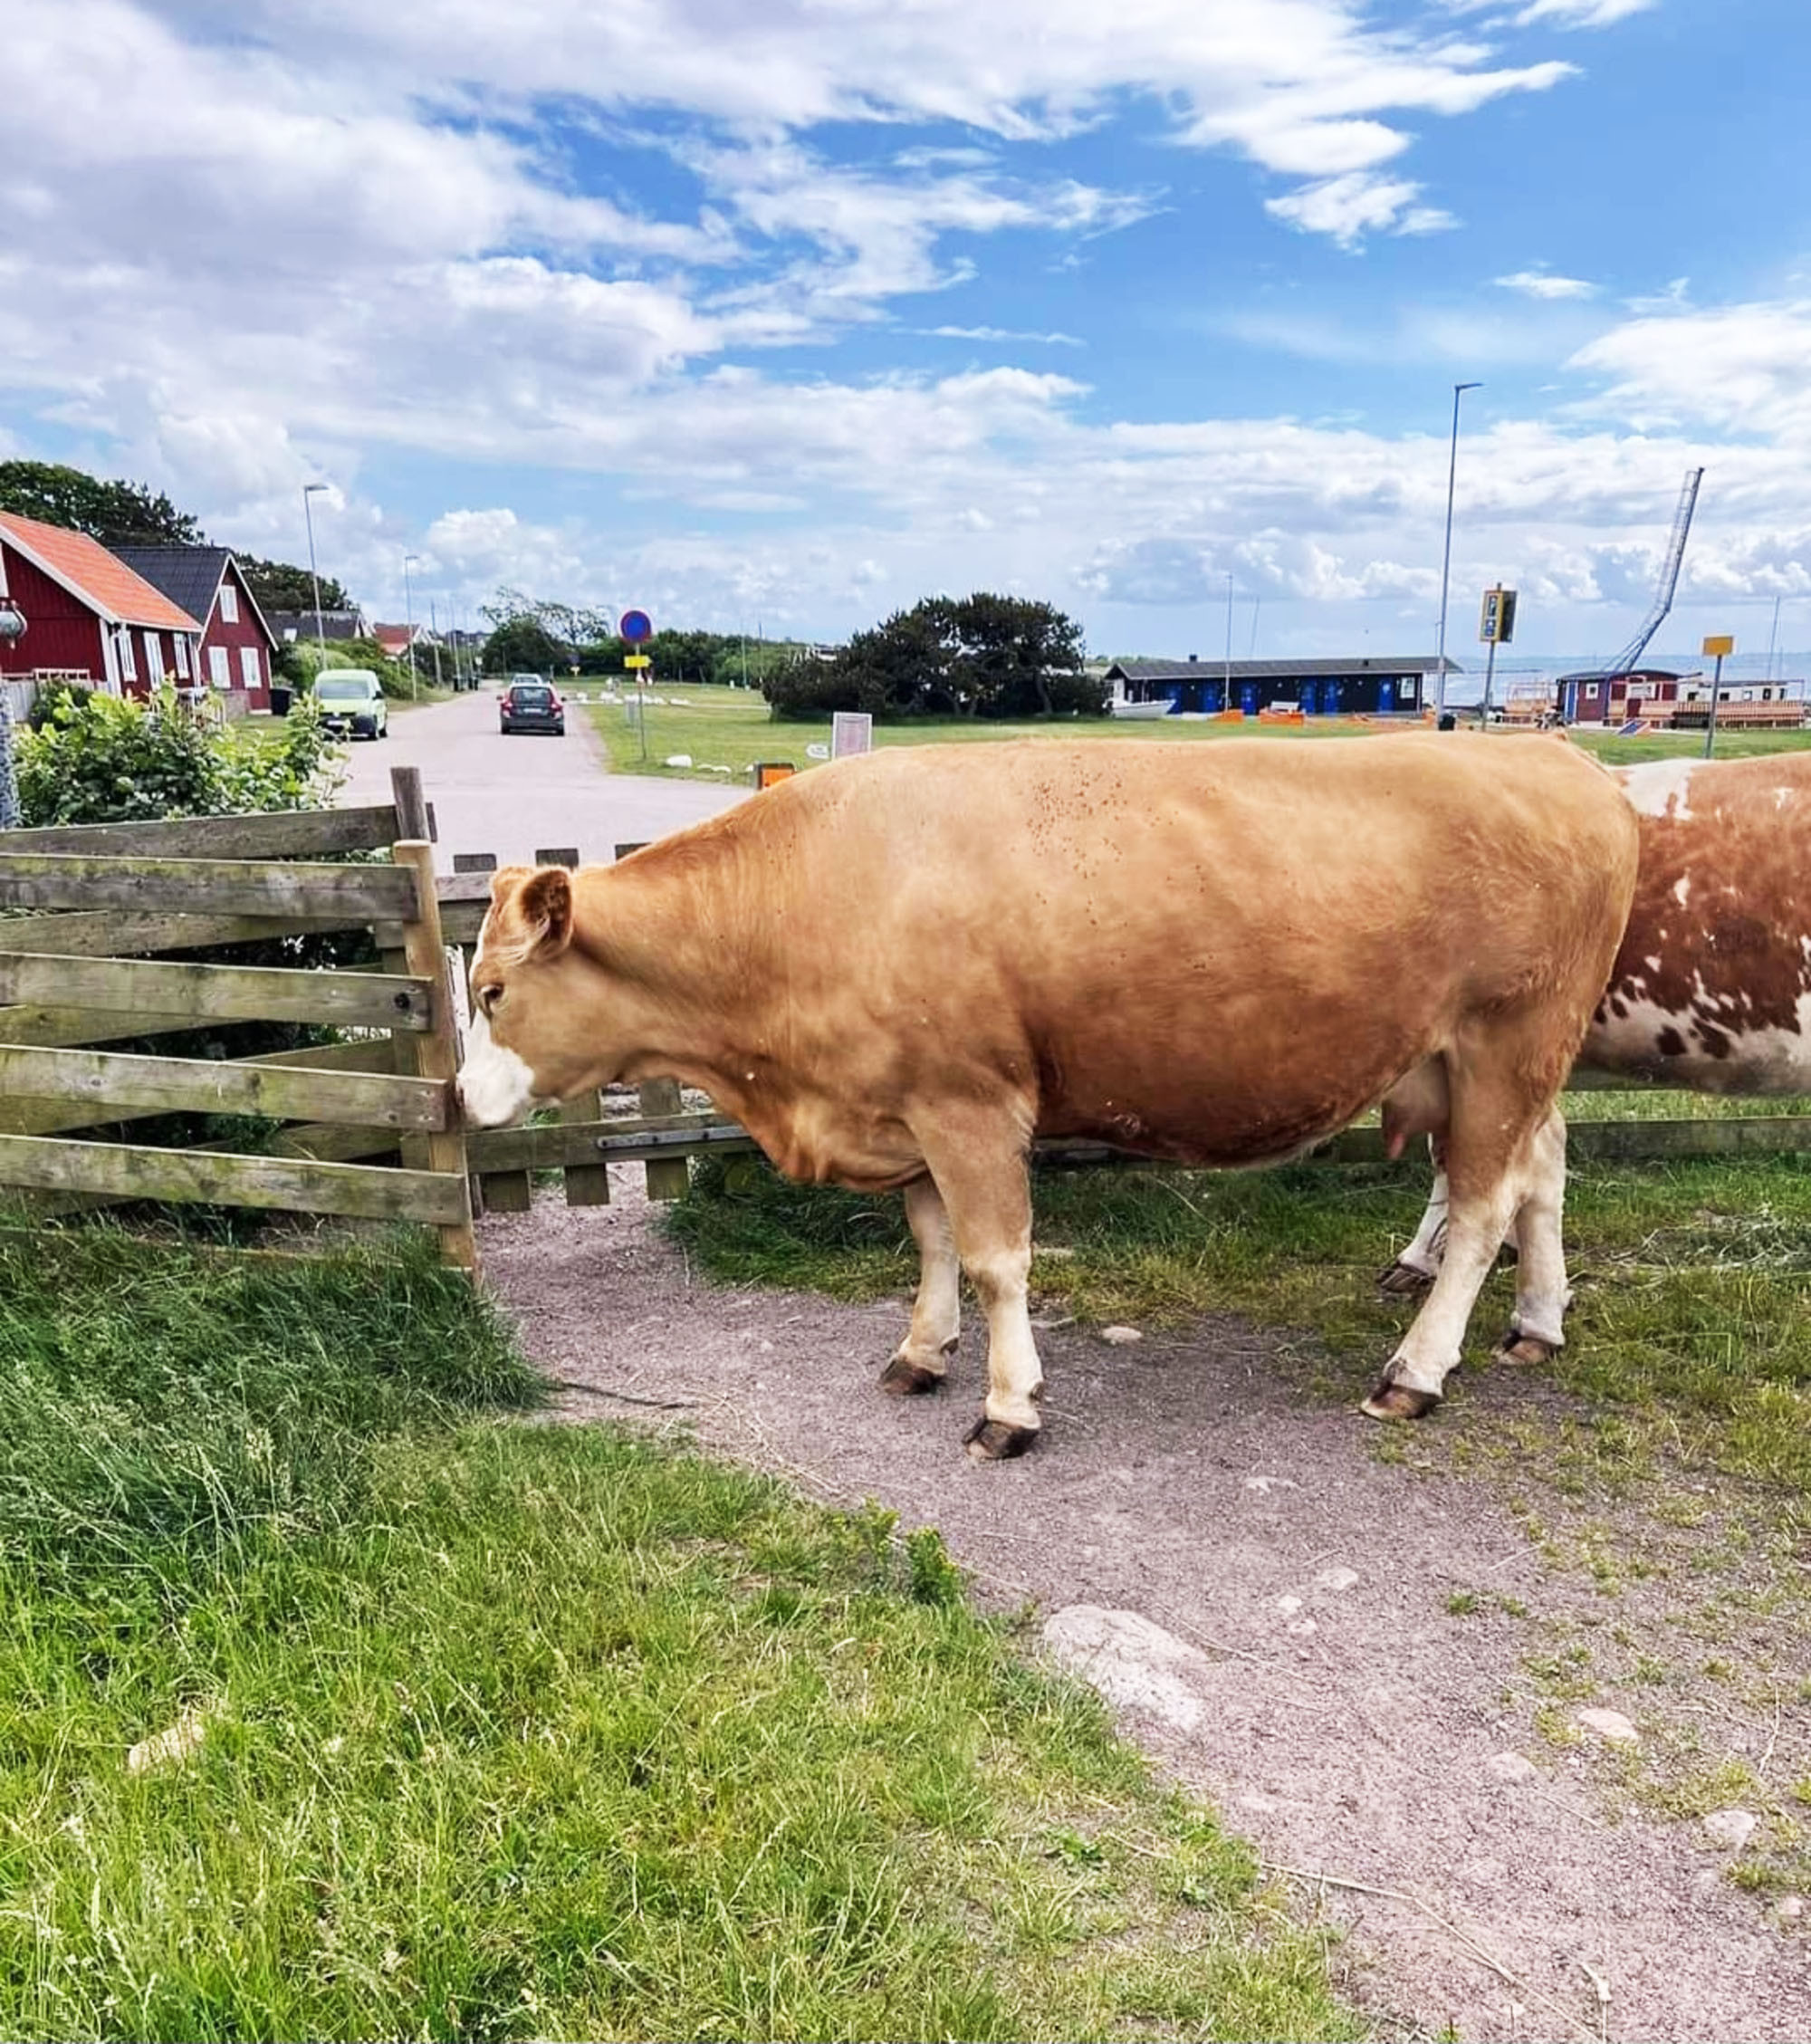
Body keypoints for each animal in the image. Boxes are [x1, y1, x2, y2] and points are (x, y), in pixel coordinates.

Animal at [456, 733, 1639, 1457]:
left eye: (493, 990)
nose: (458, 1100)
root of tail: (1553, 757)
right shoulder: (905, 1106)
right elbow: (931, 1243)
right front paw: (920, 1352)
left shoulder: (968, 1103)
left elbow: (994, 1260)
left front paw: (1007, 1404)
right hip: (1502, 1064)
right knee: (1540, 1174)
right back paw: (1535, 1321)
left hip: (1505, 1043)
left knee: (1480, 1208)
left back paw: (1416, 1369)